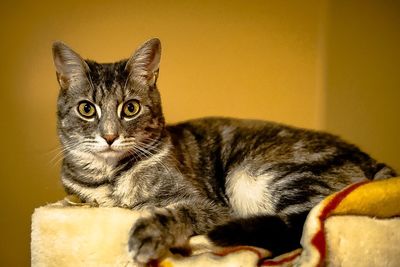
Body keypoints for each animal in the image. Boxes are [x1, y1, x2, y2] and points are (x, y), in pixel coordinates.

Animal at [52, 37, 396, 264]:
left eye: (131, 108)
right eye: (86, 109)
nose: (110, 136)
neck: (110, 176)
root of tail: (366, 157)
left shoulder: (209, 204)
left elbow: (178, 211)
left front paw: (149, 231)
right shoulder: (82, 197)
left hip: (266, 174)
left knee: (301, 223)